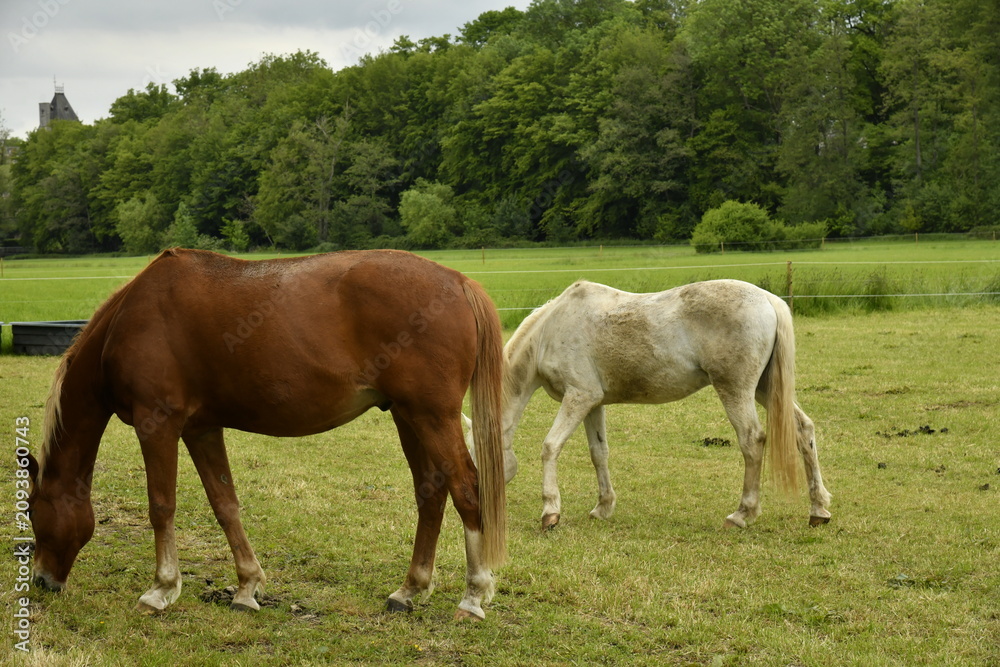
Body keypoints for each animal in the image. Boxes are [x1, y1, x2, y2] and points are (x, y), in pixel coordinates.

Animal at [24, 248, 506, 620]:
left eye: (31, 511)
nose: (43, 581)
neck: (129, 319)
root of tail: (459, 281)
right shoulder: (201, 429)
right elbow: (225, 504)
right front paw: (246, 587)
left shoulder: (157, 424)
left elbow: (161, 506)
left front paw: (160, 590)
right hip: (409, 417)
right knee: (431, 493)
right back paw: (410, 590)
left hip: (432, 417)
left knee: (467, 489)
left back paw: (473, 596)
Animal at [465, 279, 831, 531]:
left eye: (475, 455)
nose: (474, 507)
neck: (548, 333)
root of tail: (768, 300)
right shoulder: (593, 402)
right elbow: (599, 453)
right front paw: (603, 507)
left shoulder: (578, 397)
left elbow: (550, 447)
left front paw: (550, 512)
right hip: (765, 389)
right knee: (803, 430)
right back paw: (818, 510)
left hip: (737, 390)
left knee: (752, 440)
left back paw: (742, 514)